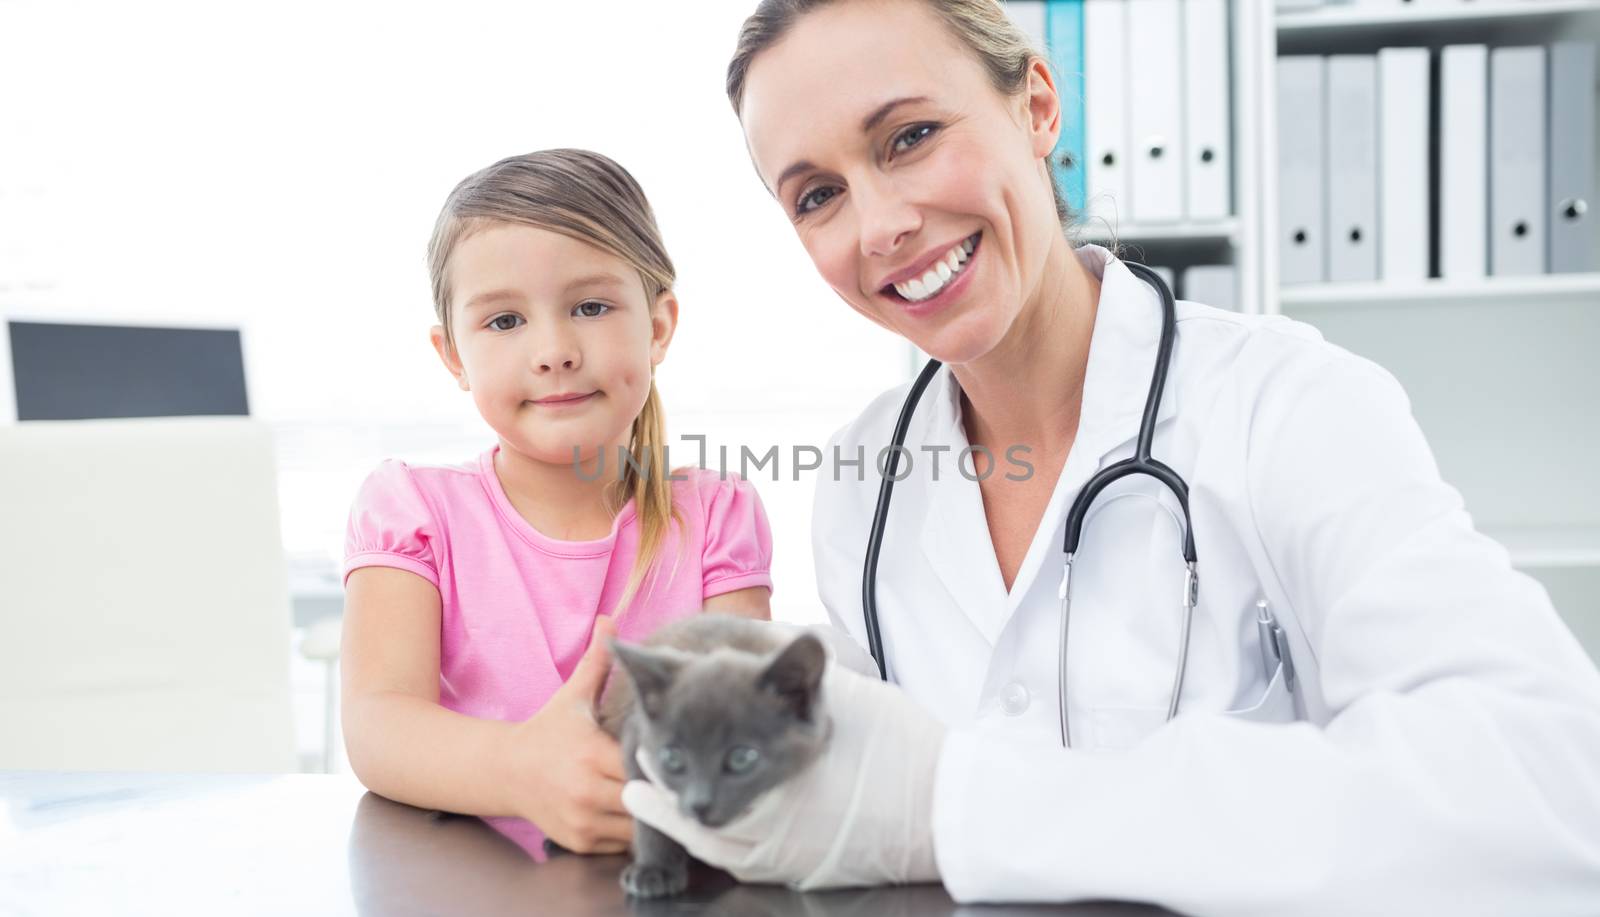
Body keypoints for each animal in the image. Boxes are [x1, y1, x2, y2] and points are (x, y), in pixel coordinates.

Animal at [598, 611, 832, 896]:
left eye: (741, 758)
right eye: (673, 758)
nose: (699, 804)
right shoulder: (635, 744)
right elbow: (648, 817)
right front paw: (654, 870)